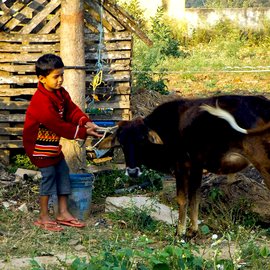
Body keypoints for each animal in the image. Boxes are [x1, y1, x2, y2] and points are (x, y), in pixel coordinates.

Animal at [98, 95, 270, 236]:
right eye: (121, 142)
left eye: (142, 140)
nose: (132, 171)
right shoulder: (197, 168)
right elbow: (195, 198)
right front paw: (193, 230)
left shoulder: (181, 167)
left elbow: (182, 199)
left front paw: (180, 232)